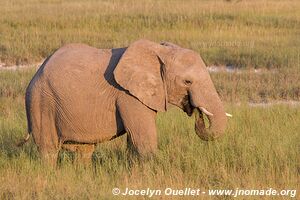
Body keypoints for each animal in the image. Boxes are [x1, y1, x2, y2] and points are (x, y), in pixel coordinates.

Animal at [19, 39, 231, 166]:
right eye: (187, 82)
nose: (196, 111)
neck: (159, 50)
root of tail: (37, 72)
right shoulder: (128, 96)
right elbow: (143, 141)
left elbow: (134, 141)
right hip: (41, 103)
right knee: (48, 150)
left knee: (84, 150)